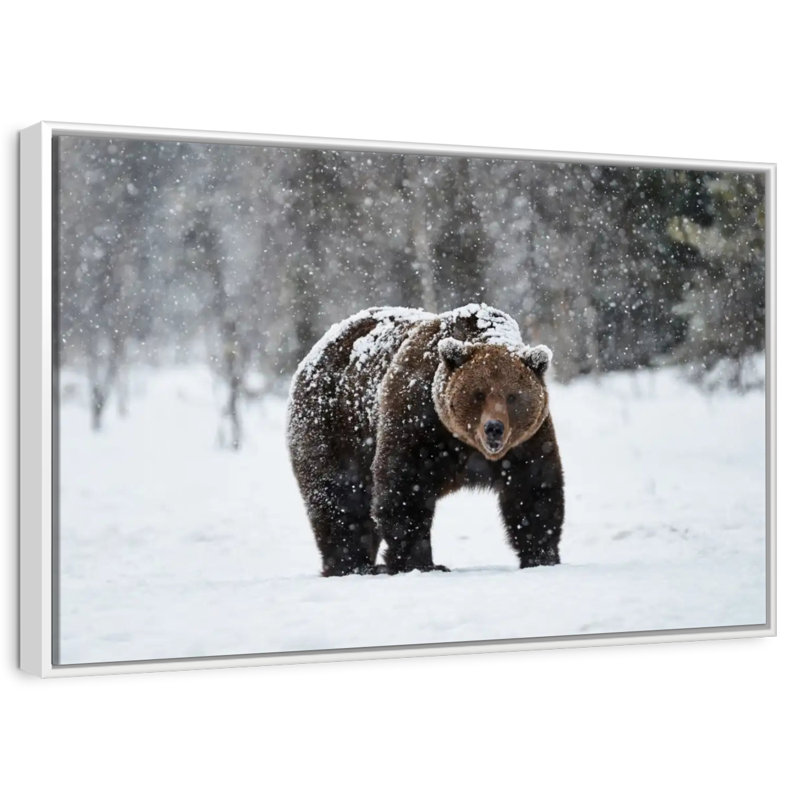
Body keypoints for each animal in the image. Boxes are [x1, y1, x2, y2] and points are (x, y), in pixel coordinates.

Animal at [287, 303, 564, 576]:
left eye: (512, 396)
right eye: (478, 394)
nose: (493, 428)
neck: (464, 443)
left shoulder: (526, 442)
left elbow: (534, 491)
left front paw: (542, 557)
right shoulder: (417, 419)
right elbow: (405, 489)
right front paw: (420, 563)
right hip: (335, 427)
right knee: (341, 500)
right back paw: (352, 565)